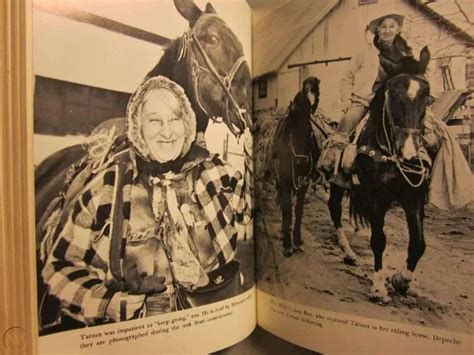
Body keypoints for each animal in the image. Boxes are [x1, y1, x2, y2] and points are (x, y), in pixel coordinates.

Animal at [272, 77, 320, 256]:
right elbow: (287, 207)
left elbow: (298, 209)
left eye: (310, 130)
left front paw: (297, 240)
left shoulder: (303, 180)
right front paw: (287, 243)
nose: (301, 160)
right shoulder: (285, 179)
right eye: (290, 128)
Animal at [350, 47, 432, 304]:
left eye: (428, 96)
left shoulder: (413, 195)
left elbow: (418, 243)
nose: (409, 154)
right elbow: (378, 239)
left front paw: (401, 280)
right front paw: (378, 286)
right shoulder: (375, 195)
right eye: (393, 93)